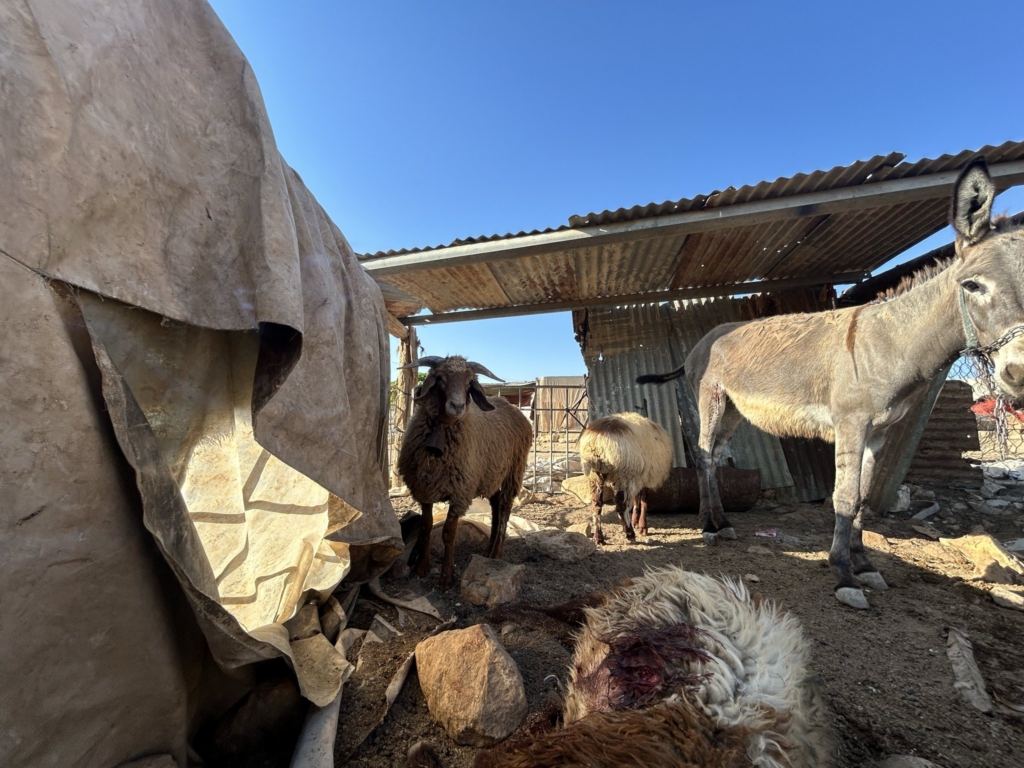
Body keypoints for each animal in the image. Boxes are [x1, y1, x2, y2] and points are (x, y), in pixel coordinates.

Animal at [397, 355, 533, 589]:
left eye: (470, 383)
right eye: (439, 378)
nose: (458, 405)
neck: (443, 430)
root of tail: (510, 405)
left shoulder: (460, 493)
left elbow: (448, 533)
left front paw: (446, 577)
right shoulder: (425, 489)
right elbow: (426, 526)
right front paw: (421, 568)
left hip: (514, 470)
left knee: (505, 507)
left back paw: (497, 553)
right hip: (491, 472)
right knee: (496, 504)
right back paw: (488, 550)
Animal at [579, 411, 672, 545]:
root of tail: (597, 445)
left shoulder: (639, 478)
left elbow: (637, 499)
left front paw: (636, 521)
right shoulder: (643, 477)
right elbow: (644, 500)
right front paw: (642, 527)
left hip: (595, 477)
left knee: (596, 505)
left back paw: (598, 537)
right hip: (622, 476)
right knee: (621, 506)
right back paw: (630, 533)